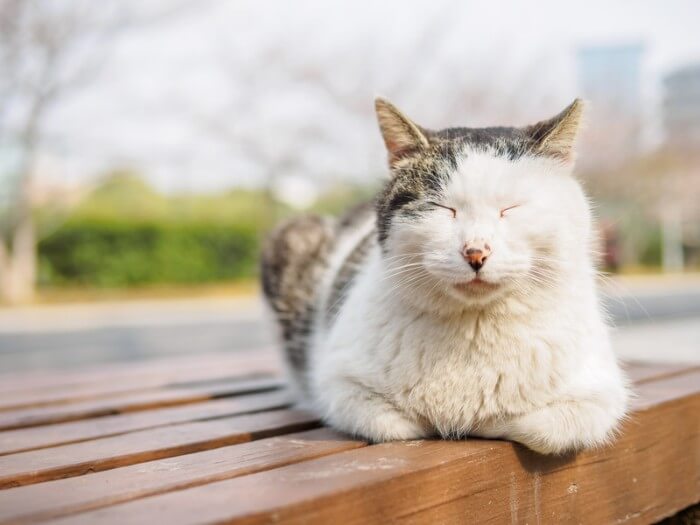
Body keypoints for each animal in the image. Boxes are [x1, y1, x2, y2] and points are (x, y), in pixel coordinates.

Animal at [262, 98, 628, 454]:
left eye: (510, 208)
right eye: (442, 209)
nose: (476, 252)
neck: (475, 327)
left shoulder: (602, 394)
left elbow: (544, 428)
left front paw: (485, 418)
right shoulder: (338, 383)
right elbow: (395, 425)